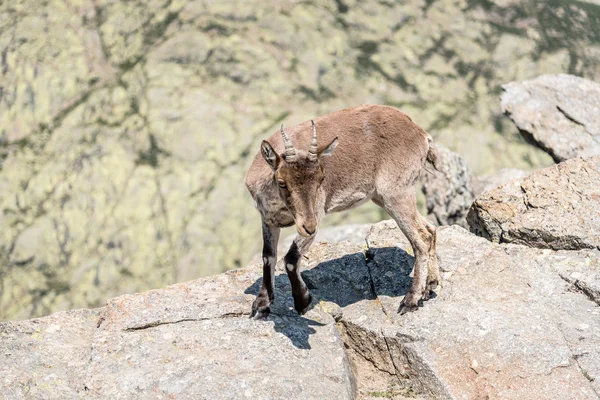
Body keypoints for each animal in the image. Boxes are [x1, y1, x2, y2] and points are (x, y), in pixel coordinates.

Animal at [246, 104, 438, 320]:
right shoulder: (268, 219)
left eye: (321, 179)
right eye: (282, 182)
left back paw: (411, 300)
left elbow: (290, 258)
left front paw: (303, 301)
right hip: (382, 196)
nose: (310, 227)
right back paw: (429, 287)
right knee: (430, 229)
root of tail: (420, 133)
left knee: (421, 238)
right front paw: (261, 305)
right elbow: (268, 256)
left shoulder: (316, 213)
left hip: (396, 193)